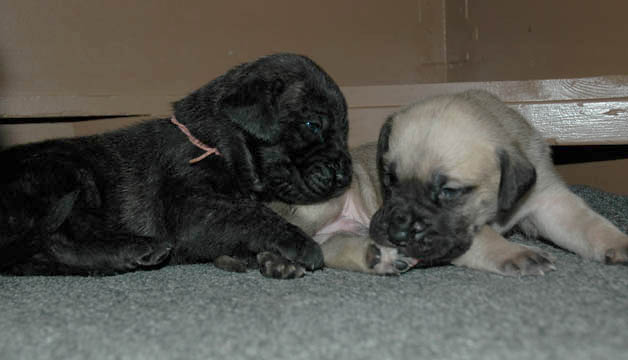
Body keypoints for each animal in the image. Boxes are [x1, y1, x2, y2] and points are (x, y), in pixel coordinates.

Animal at [0, 52, 350, 278]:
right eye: (312, 124)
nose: (344, 175)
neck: (216, 142)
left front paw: (274, 259)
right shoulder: (191, 208)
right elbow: (248, 213)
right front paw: (297, 243)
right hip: (67, 174)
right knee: (57, 241)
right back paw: (137, 251)